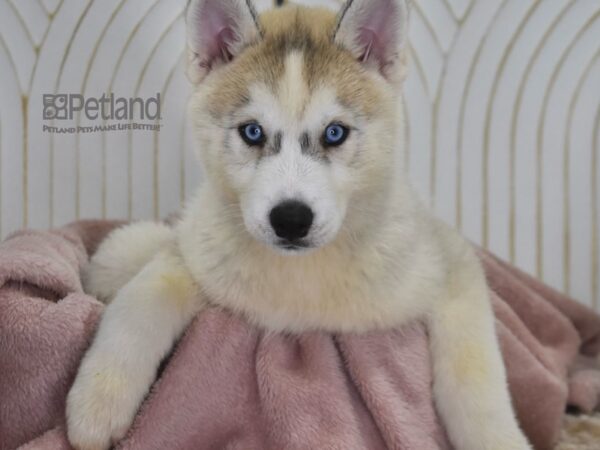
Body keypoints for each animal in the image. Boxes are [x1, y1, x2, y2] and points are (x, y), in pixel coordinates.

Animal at [67, 0, 528, 450]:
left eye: (335, 133)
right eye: (252, 132)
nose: (291, 219)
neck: (302, 284)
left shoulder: (452, 263)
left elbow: (475, 370)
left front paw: (499, 437)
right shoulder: (193, 260)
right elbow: (140, 302)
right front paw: (97, 402)